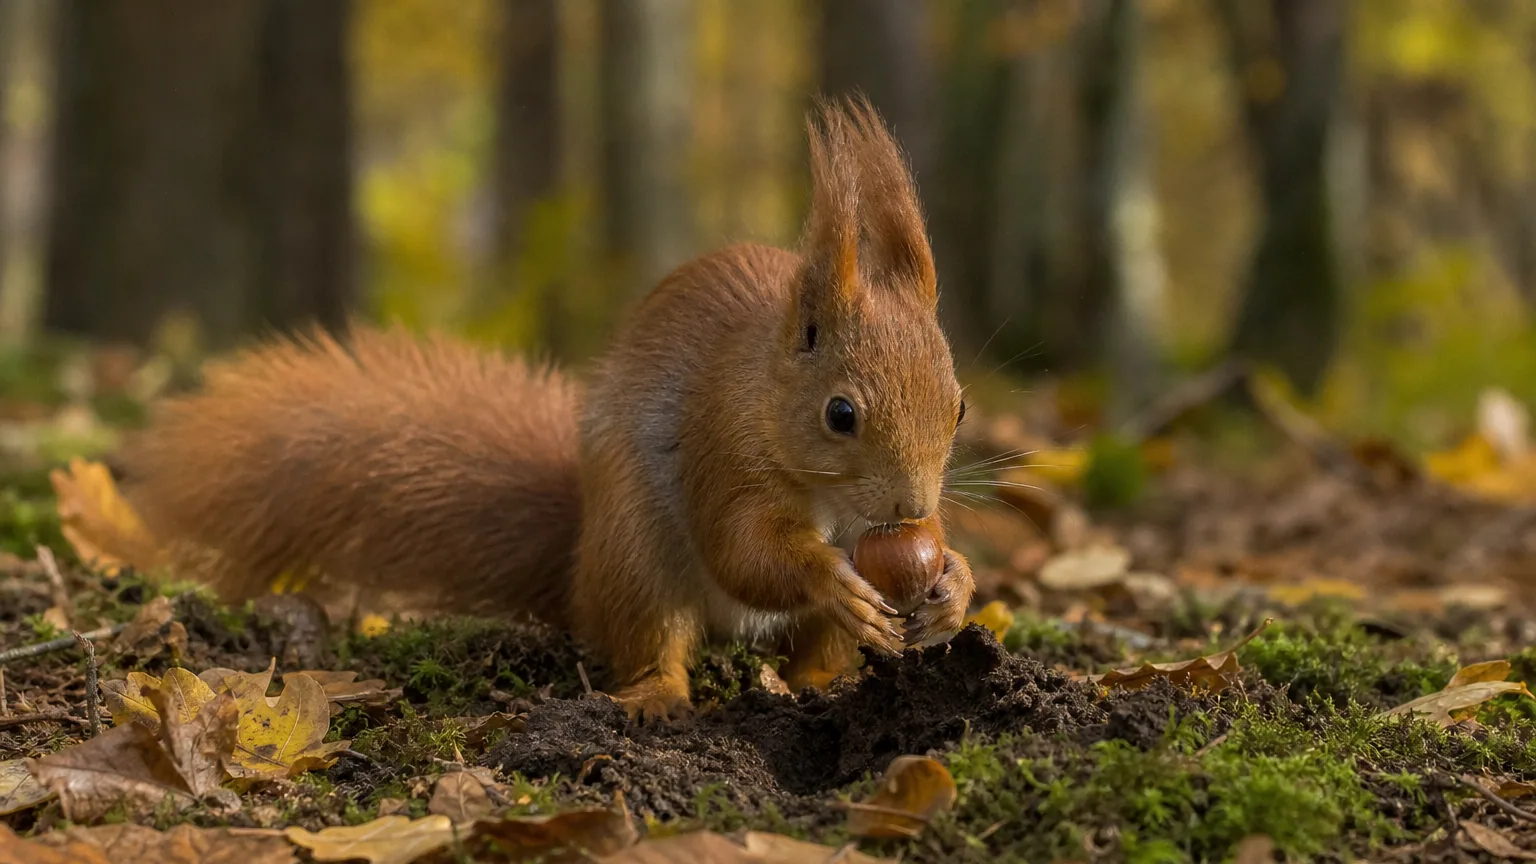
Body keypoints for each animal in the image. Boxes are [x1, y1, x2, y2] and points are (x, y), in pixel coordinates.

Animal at [116, 98, 975, 721]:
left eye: (960, 407)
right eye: (840, 414)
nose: (910, 507)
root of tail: (577, 570)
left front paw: (955, 588)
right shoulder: (721, 450)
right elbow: (743, 550)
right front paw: (832, 577)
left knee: (809, 659)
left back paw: (824, 684)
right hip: (633, 550)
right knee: (651, 636)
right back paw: (658, 697)